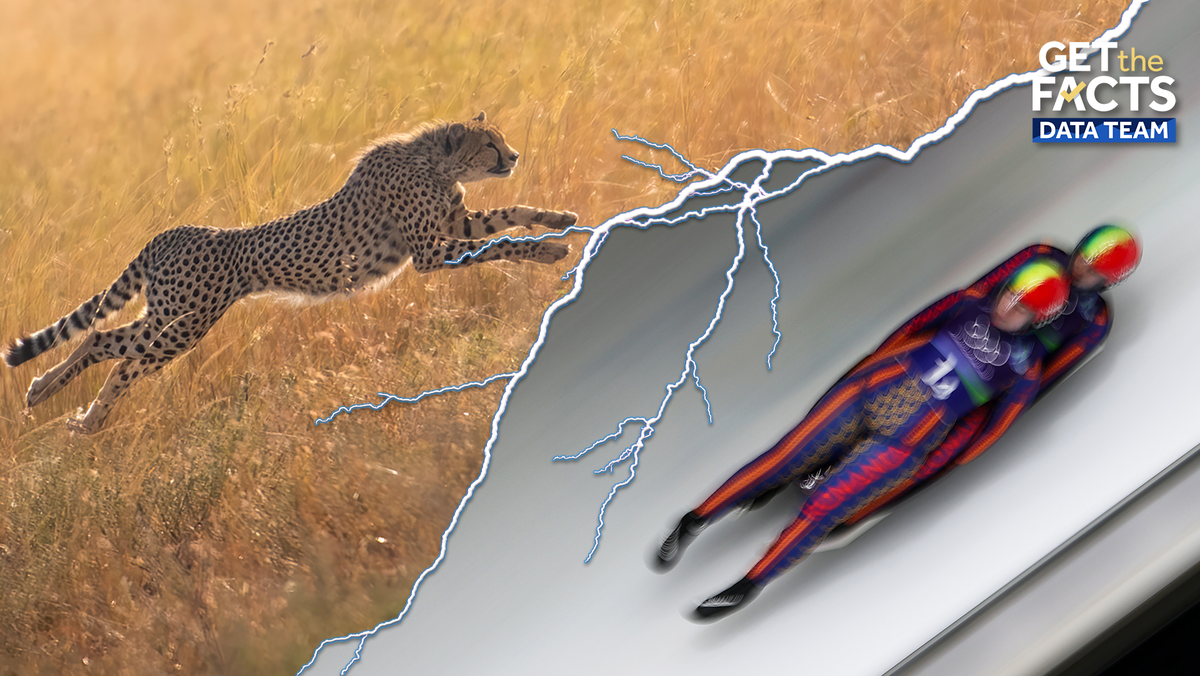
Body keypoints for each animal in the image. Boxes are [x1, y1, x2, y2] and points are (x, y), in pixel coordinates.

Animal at [4, 111, 578, 433]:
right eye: (490, 144)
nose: (515, 155)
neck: (433, 161)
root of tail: (173, 231)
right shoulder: (430, 252)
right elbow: (501, 242)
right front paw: (548, 250)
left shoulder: (454, 223)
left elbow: (507, 215)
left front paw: (558, 221)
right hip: (185, 325)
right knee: (112, 350)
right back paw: (73, 413)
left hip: (170, 320)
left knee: (105, 345)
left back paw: (60, 404)